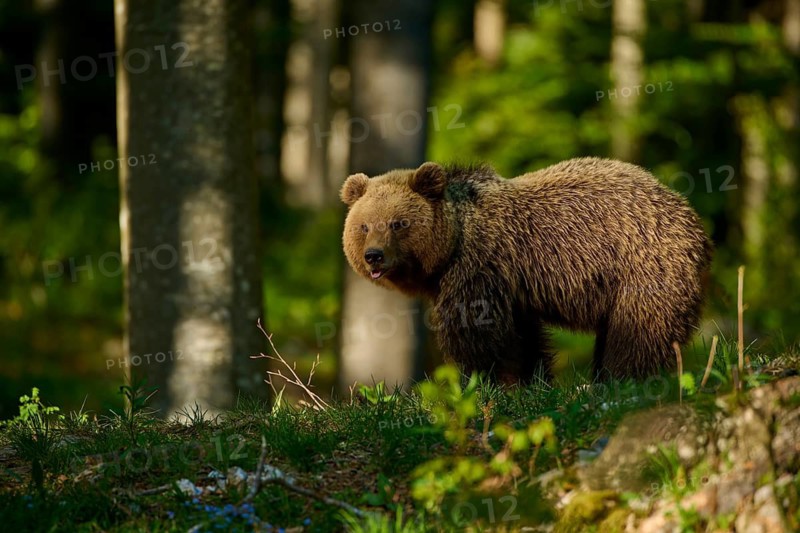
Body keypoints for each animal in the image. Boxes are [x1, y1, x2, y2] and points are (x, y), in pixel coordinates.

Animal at [340, 158, 713, 383]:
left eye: (398, 223)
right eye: (364, 226)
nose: (374, 256)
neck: (451, 247)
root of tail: (692, 217)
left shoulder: (480, 269)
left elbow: (480, 336)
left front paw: (490, 382)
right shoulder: (512, 286)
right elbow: (524, 337)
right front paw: (533, 379)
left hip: (644, 265)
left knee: (638, 329)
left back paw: (621, 376)